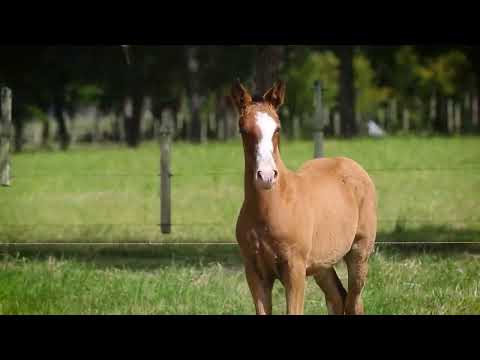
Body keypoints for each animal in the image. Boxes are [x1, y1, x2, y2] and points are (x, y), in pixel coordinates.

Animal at [233, 79, 378, 316]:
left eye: (278, 129)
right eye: (243, 129)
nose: (266, 176)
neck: (272, 208)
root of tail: (352, 165)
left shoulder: (295, 269)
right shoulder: (254, 272)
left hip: (359, 252)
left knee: (354, 302)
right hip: (322, 264)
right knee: (338, 298)